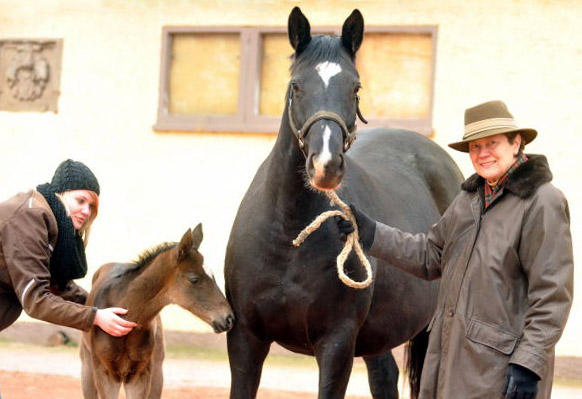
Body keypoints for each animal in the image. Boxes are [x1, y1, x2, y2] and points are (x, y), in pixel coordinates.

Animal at [225, 7, 466, 399]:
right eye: (296, 85)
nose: (325, 164)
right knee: (385, 377)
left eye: (355, 87)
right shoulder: (245, 337)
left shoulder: (337, 344)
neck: (289, 236)